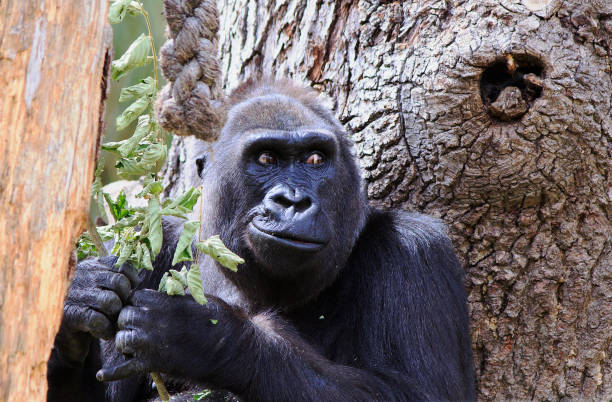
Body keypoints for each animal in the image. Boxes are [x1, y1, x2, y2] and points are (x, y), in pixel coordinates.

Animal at [47, 80, 478, 400]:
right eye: (266, 159)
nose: (293, 201)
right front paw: (79, 297)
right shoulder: (154, 244)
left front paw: (207, 337)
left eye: (315, 160)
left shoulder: (415, 250)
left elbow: (424, 394)